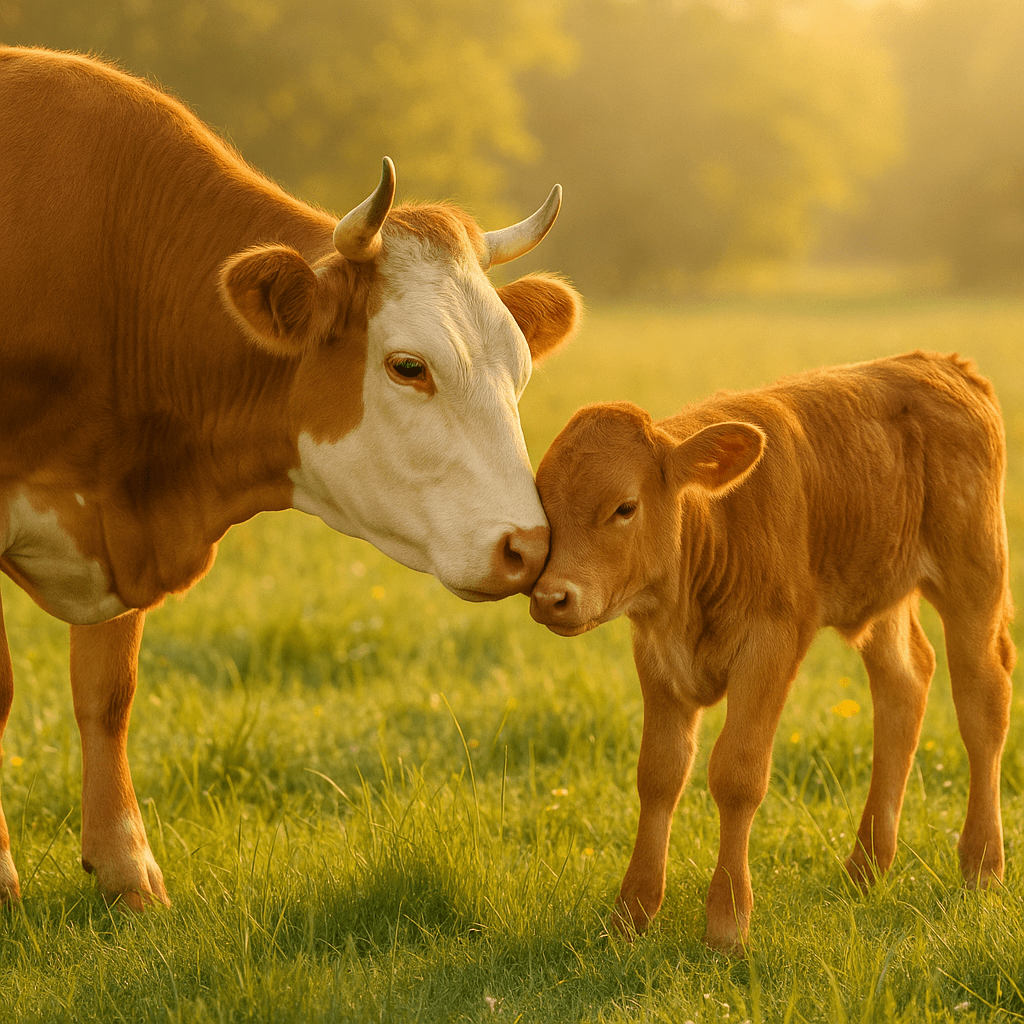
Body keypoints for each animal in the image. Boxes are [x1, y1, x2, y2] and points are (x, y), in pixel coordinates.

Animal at [530, 351, 1015, 951]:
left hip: (975, 574)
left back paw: (982, 865)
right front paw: (632, 914)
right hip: (882, 590)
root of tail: (940, 364)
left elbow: (737, 774)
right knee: (904, 688)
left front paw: (727, 923)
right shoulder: (656, 656)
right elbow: (660, 773)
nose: (551, 597)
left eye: (625, 507)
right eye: (544, 507)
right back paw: (867, 866)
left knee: (982, 703)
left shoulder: (771, 645)